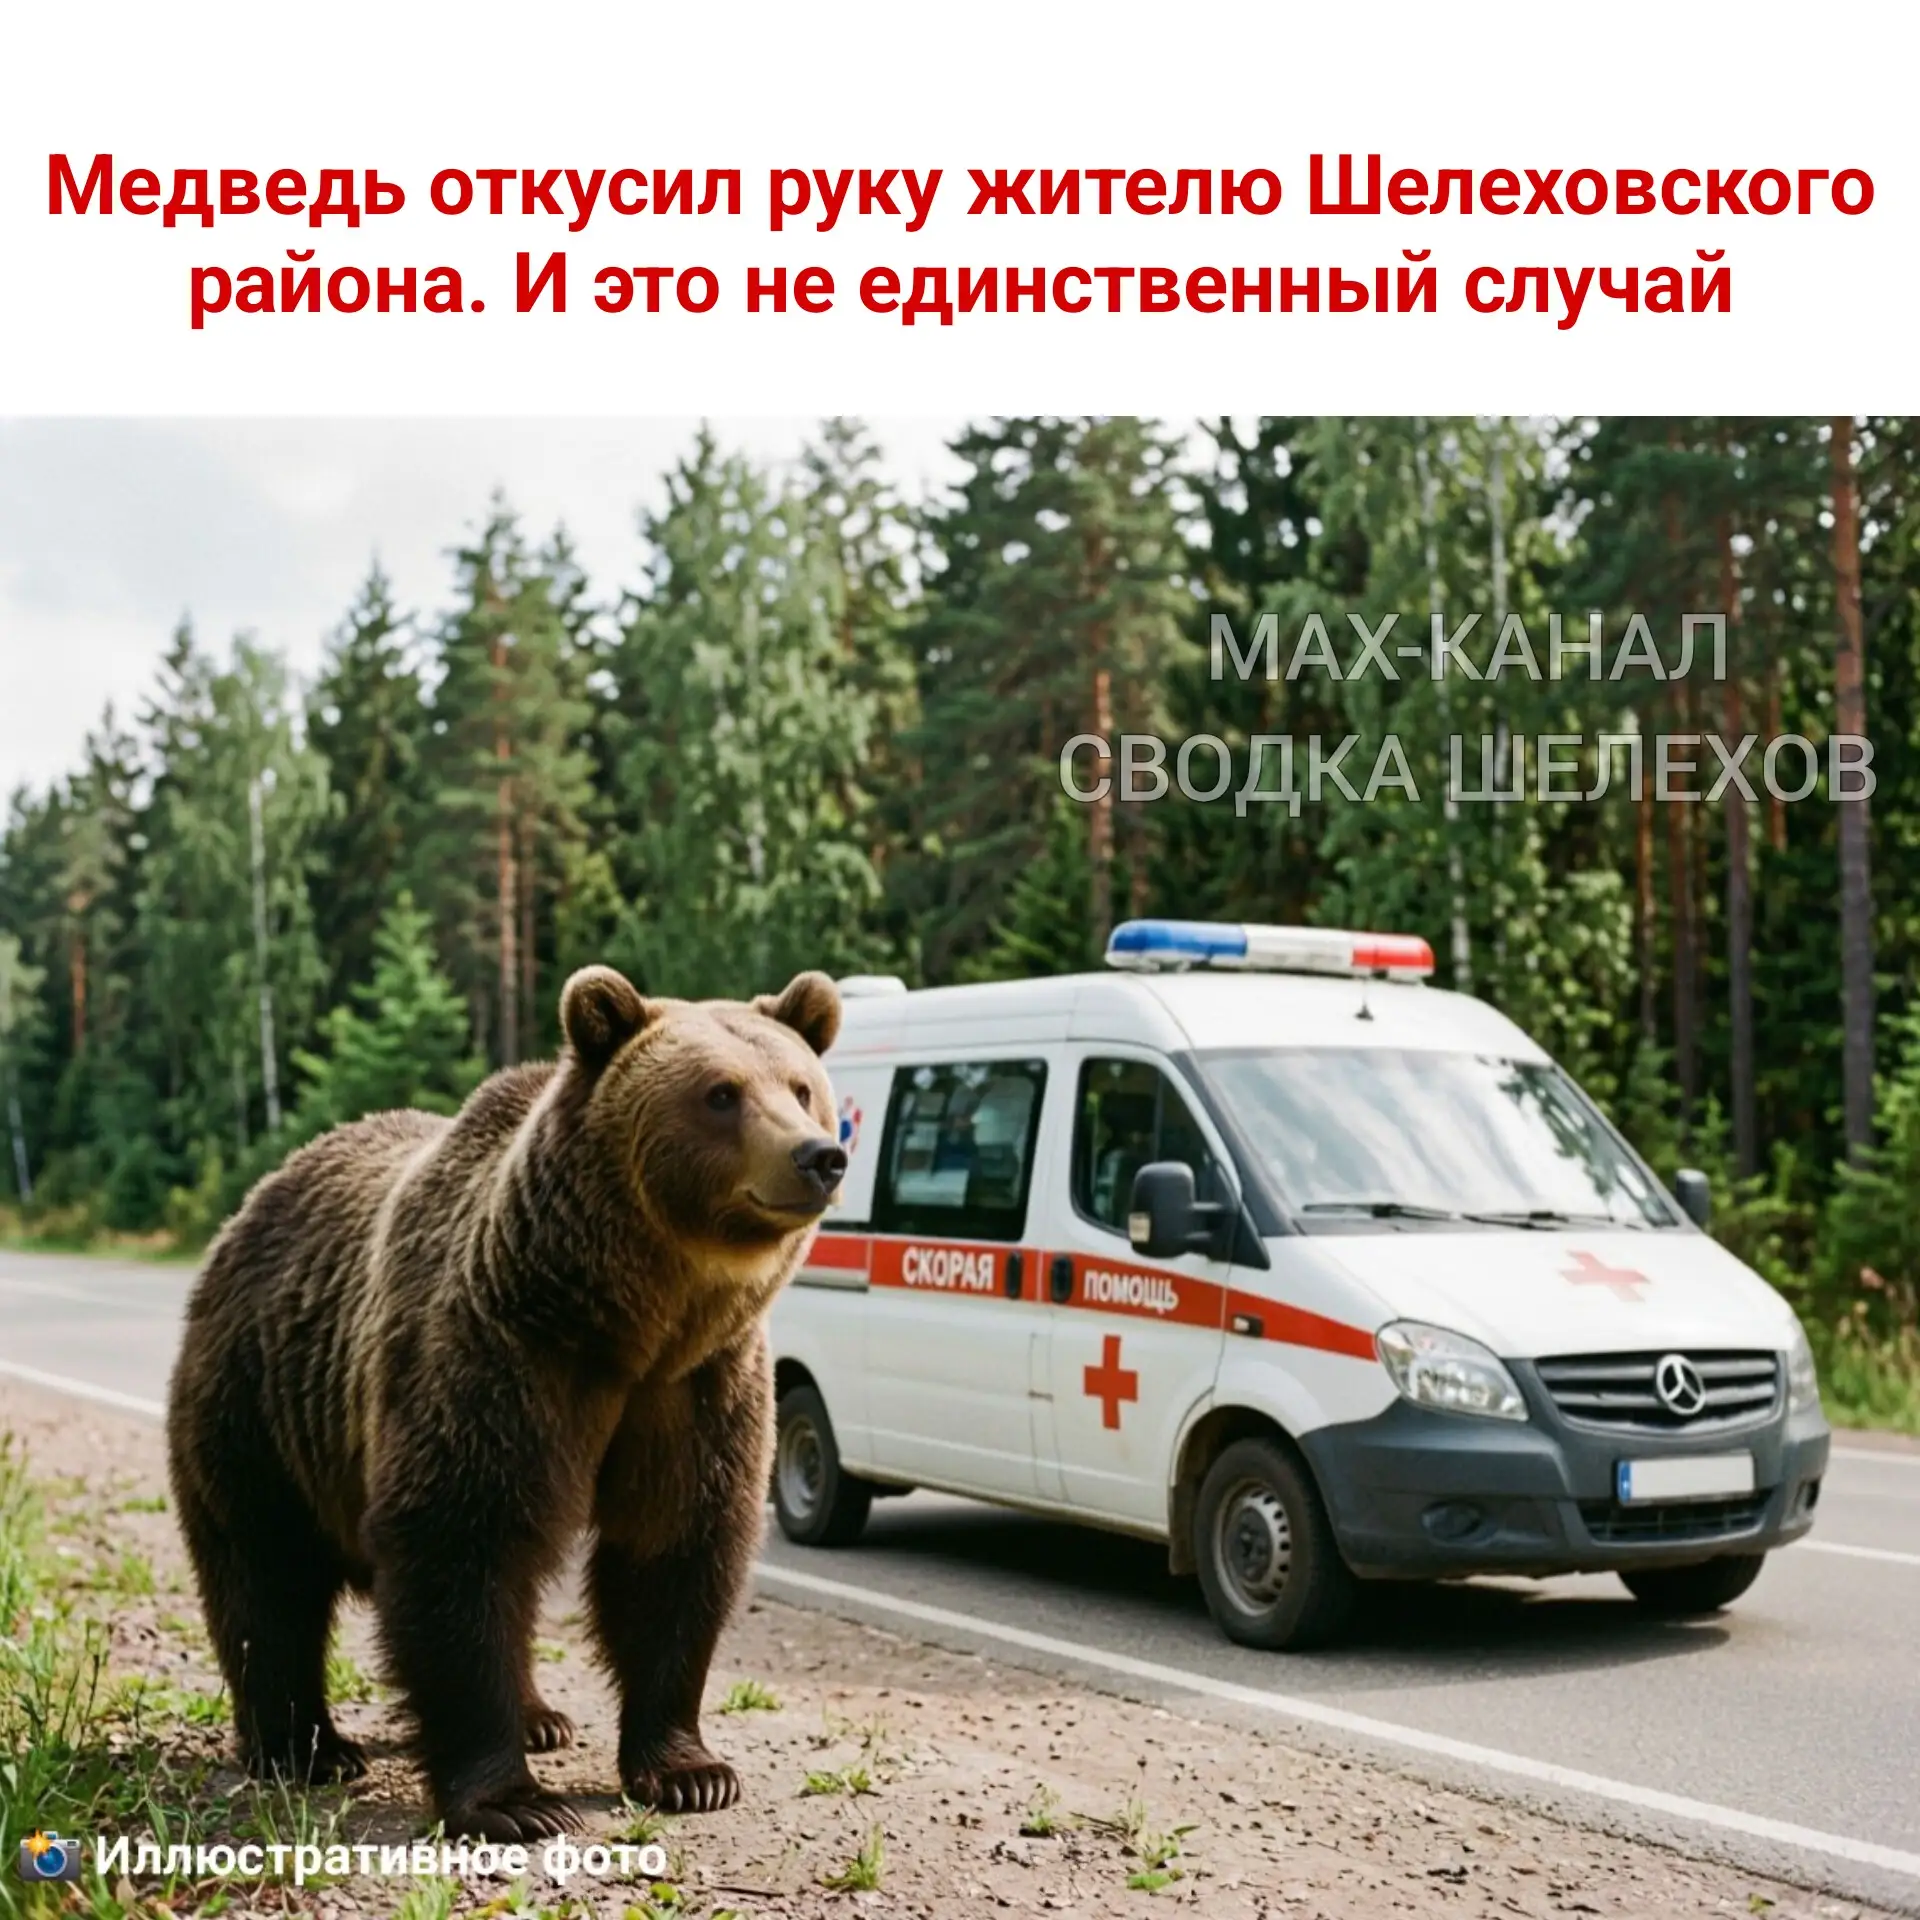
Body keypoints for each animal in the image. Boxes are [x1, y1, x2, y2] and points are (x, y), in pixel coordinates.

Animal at [165, 964, 846, 1841]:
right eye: (721, 1093)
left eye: (801, 1086)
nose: (819, 1154)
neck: (632, 1321)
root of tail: (253, 1202)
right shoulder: (504, 1354)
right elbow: (463, 1539)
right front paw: (513, 1801)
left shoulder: (697, 1383)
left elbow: (675, 1548)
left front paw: (691, 1771)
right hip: (260, 1398)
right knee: (266, 1572)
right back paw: (305, 1746)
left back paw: (540, 1718)